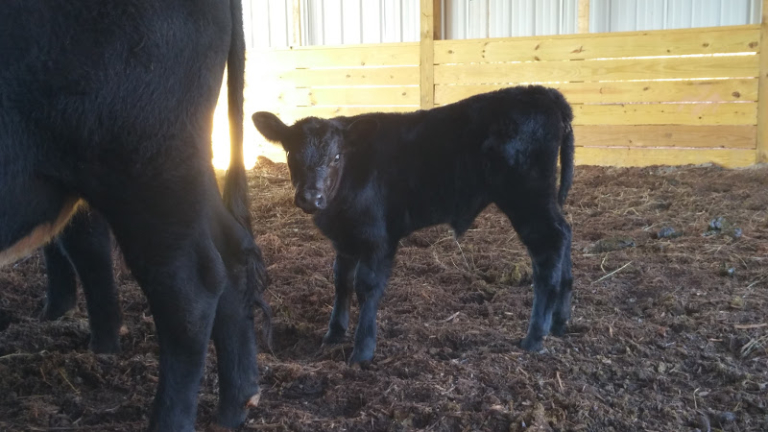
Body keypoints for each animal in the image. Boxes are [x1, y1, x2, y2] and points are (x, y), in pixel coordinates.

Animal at [252, 85, 574, 365]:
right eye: (290, 154)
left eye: (336, 157)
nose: (310, 197)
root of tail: (543, 92)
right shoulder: (344, 239)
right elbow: (341, 282)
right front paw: (333, 334)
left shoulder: (378, 238)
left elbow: (366, 286)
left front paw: (362, 351)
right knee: (566, 233)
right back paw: (560, 320)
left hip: (527, 198)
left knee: (549, 247)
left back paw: (535, 336)